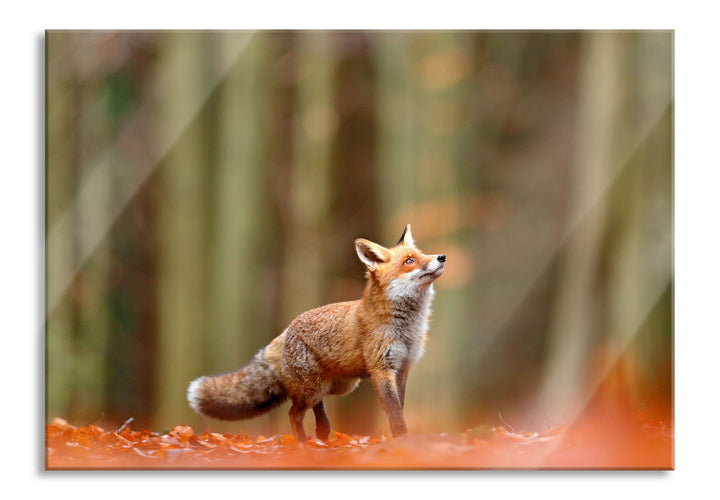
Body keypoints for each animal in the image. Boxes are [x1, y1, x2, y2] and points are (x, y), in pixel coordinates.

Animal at [187, 224, 445, 442]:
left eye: (422, 253)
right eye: (409, 261)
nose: (441, 257)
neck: (407, 328)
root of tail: (286, 331)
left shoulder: (403, 367)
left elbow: (399, 408)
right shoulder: (381, 368)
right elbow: (394, 412)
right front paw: (402, 439)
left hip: (338, 386)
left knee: (315, 408)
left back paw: (322, 432)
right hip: (314, 388)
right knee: (294, 413)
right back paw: (302, 444)